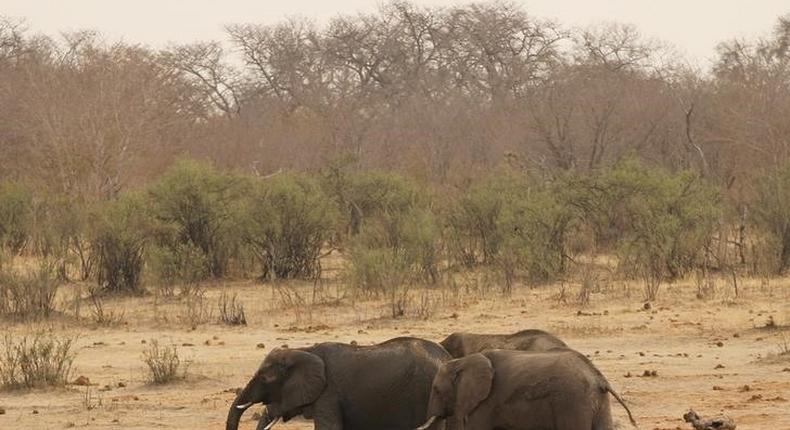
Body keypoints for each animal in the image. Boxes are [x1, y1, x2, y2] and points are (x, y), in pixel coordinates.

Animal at [414, 350, 636, 430]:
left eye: (436, 390)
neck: (463, 361)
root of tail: (599, 377)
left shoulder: (485, 404)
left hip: (572, 402)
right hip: (598, 403)